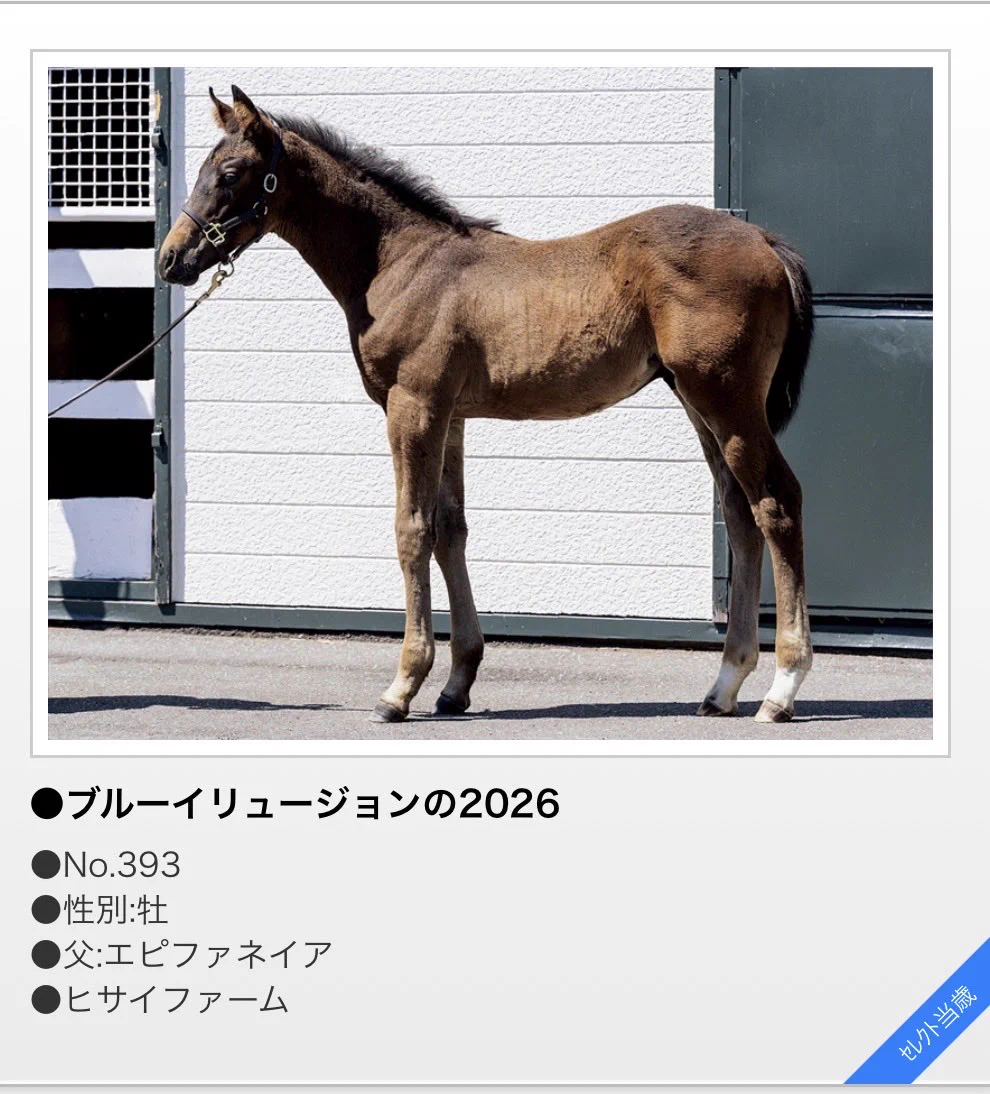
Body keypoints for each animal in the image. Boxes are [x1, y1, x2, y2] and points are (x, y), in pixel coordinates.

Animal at [160, 85, 815, 726]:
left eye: (231, 173)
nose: (171, 260)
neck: (399, 263)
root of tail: (764, 240)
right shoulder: (450, 416)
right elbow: (451, 530)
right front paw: (456, 683)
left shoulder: (412, 406)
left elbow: (412, 529)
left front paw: (402, 686)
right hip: (697, 400)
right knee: (740, 512)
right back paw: (724, 685)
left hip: (725, 397)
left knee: (777, 502)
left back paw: (782, 688)